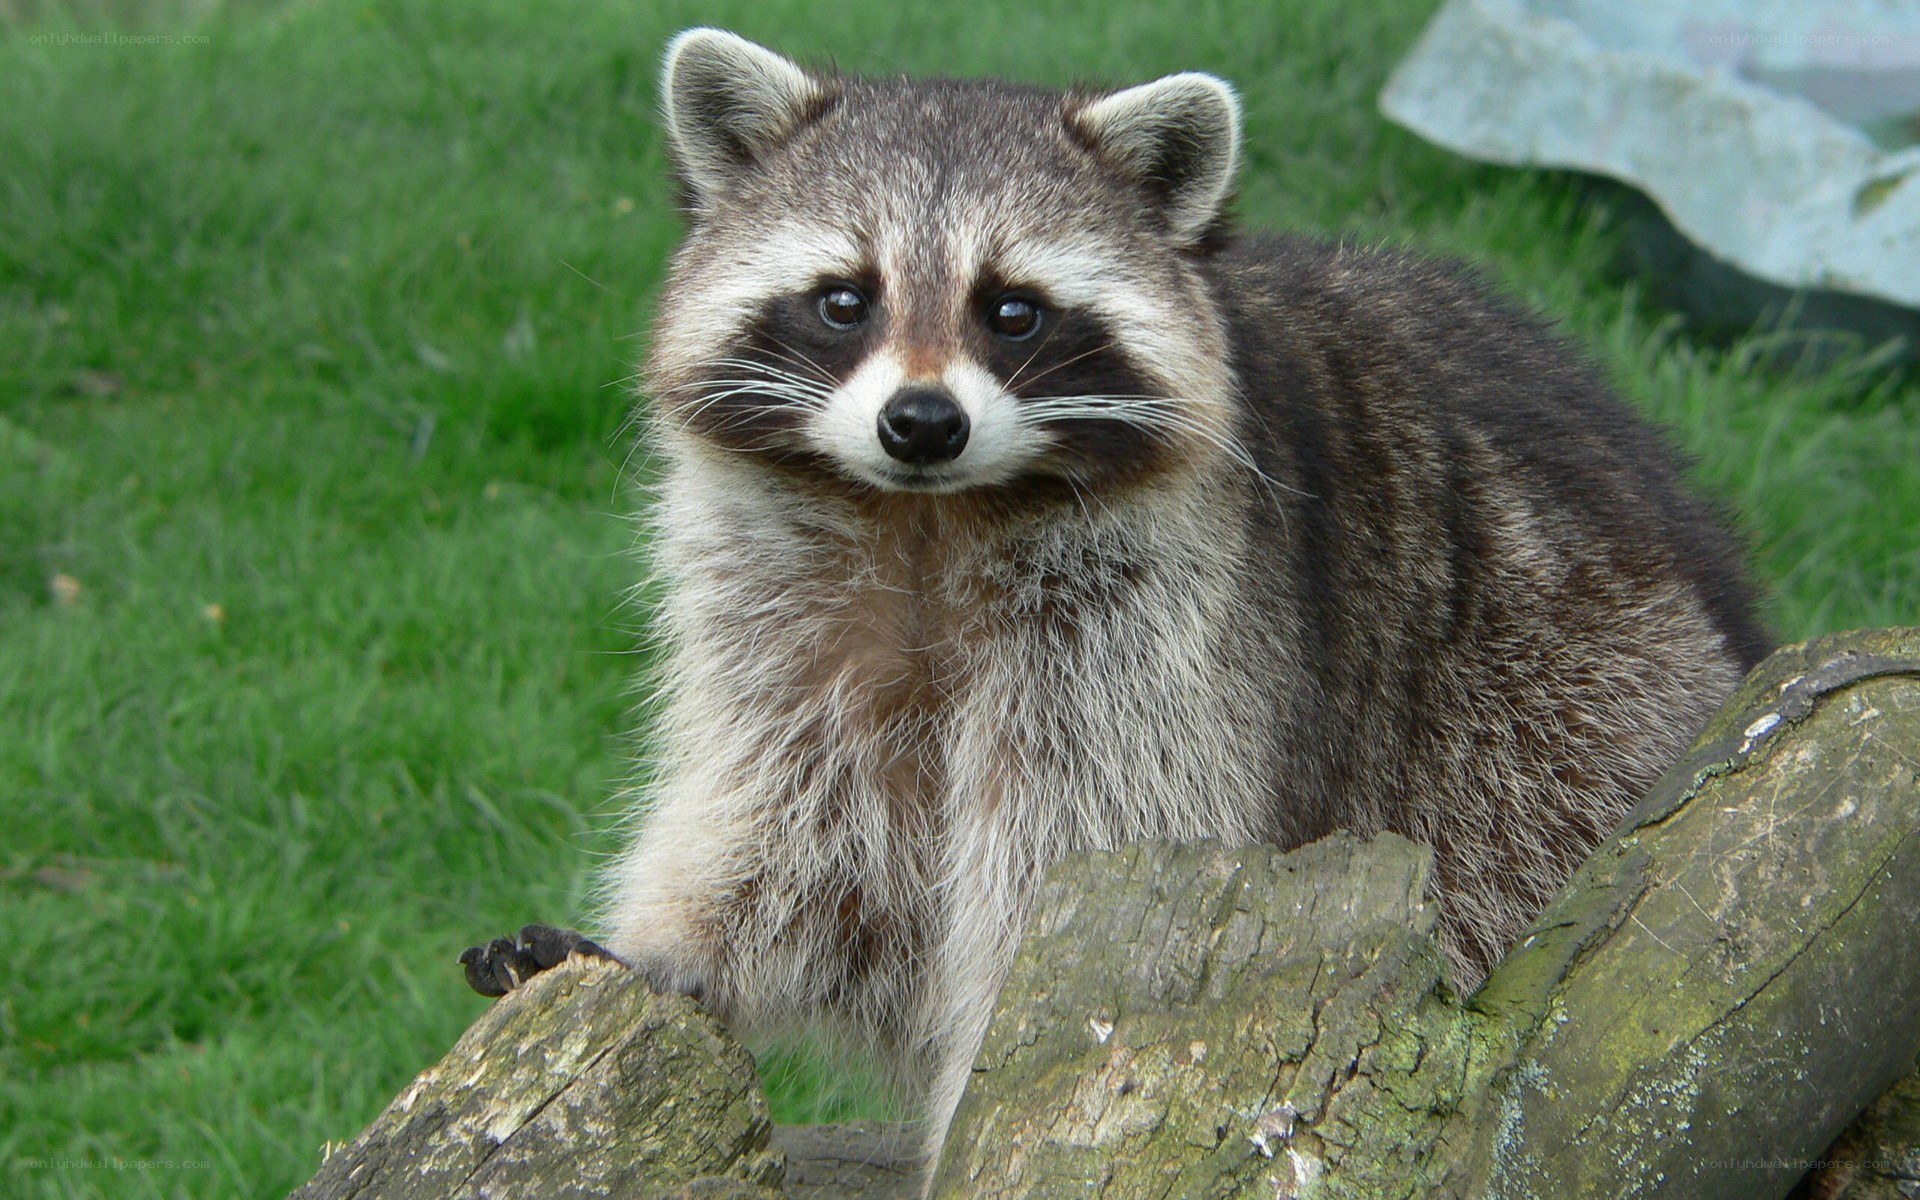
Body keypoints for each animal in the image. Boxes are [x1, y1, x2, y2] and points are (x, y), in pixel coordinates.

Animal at [462, 28, 1771, 1165]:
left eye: (1012, 309)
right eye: (845, 299)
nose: (921, 422)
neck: (926, 519)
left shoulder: (1158, 638)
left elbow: (1075, 864)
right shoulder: (783, 613)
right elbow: (801, 834)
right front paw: (672, 952)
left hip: (1559, 711)